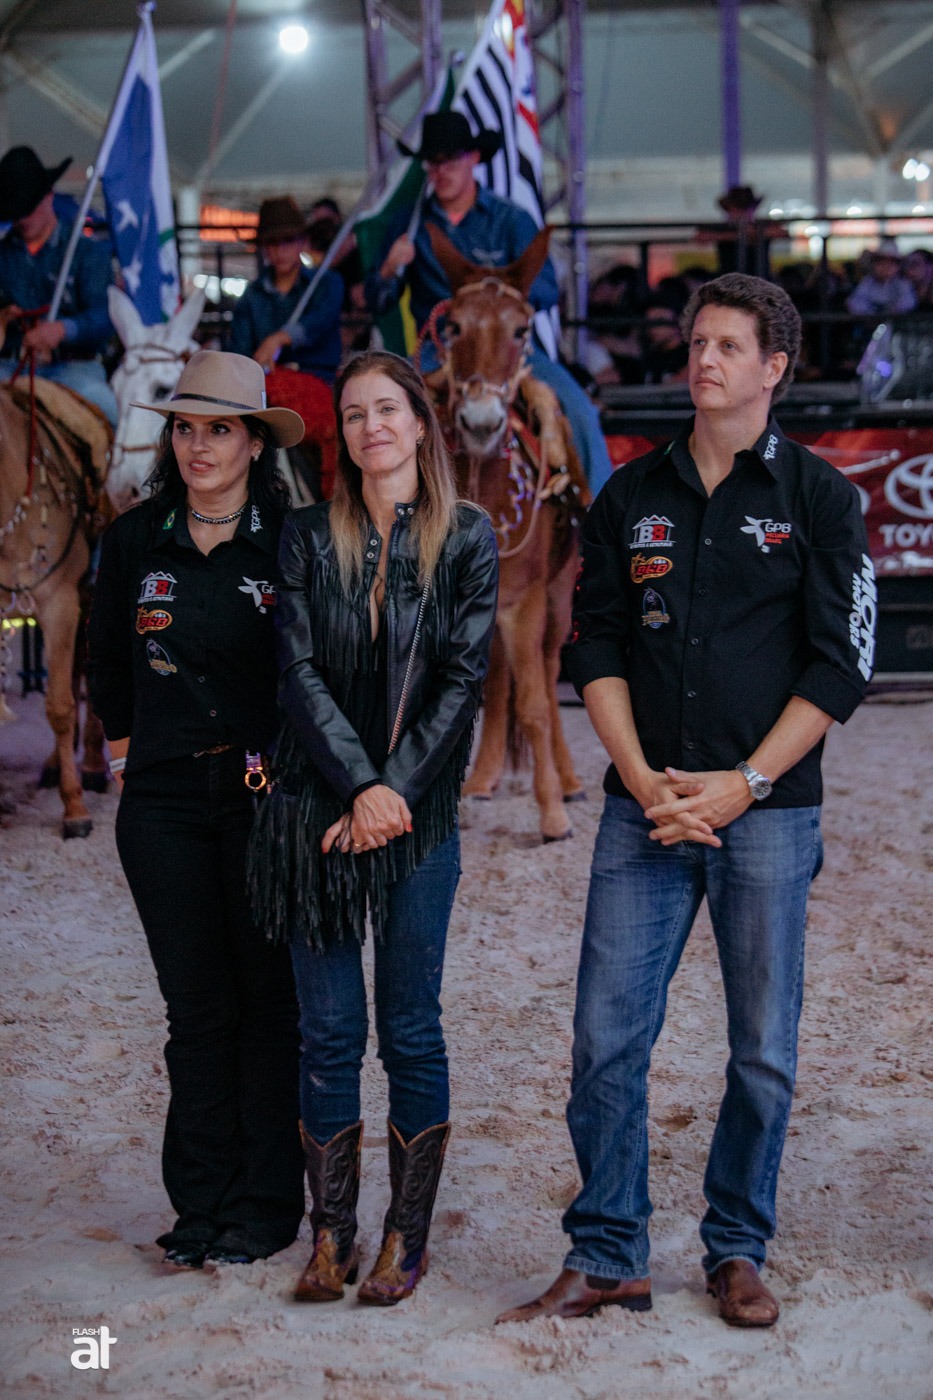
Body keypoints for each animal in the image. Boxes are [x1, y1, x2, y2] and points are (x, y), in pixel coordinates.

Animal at [424, 225, 589, 843]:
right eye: (452, 326)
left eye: (520, 329)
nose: (481, 422)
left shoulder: (526, 603)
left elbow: (538, 705)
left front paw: (553, 812)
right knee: (497, 683)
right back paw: (484, 778)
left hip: (561, 600)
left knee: (547, 672)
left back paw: (568, 780)